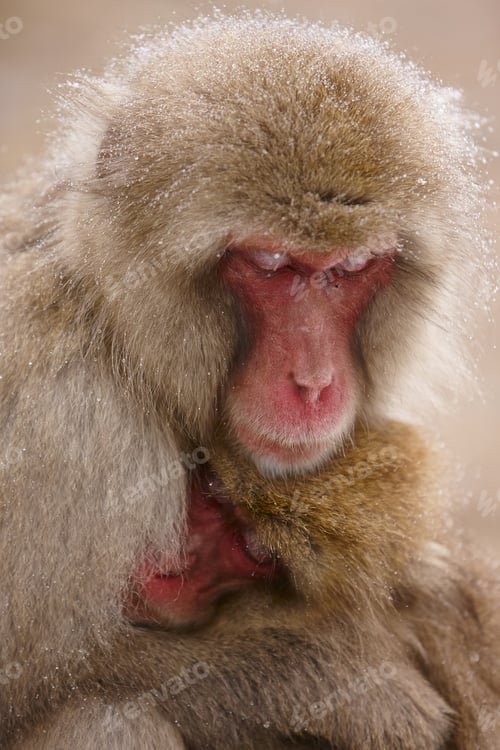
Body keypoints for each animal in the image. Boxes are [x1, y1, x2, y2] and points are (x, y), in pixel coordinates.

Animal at [0, 11, 498, 750]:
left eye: (350, 268)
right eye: (270, 263)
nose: (314, 381)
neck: (115, 326)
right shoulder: (65, 436)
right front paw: (327, 677)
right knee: (110, 717)